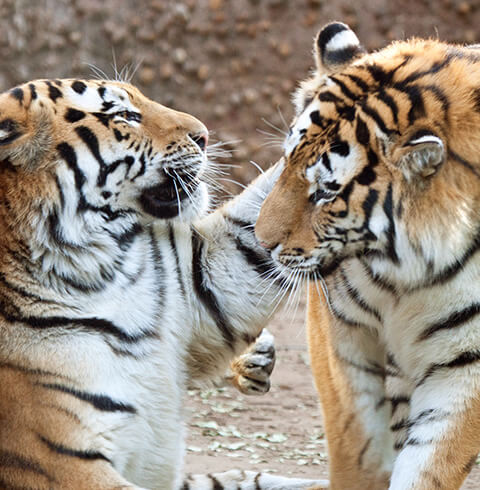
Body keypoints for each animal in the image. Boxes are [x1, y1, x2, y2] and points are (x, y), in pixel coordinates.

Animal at [256, 22, 480, 490]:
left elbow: (430, 463)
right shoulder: (340, 327)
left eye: (326, 192)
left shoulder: (467, 364)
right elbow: (357, 438)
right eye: (286, 160)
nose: (261, 241)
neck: (408, 276)